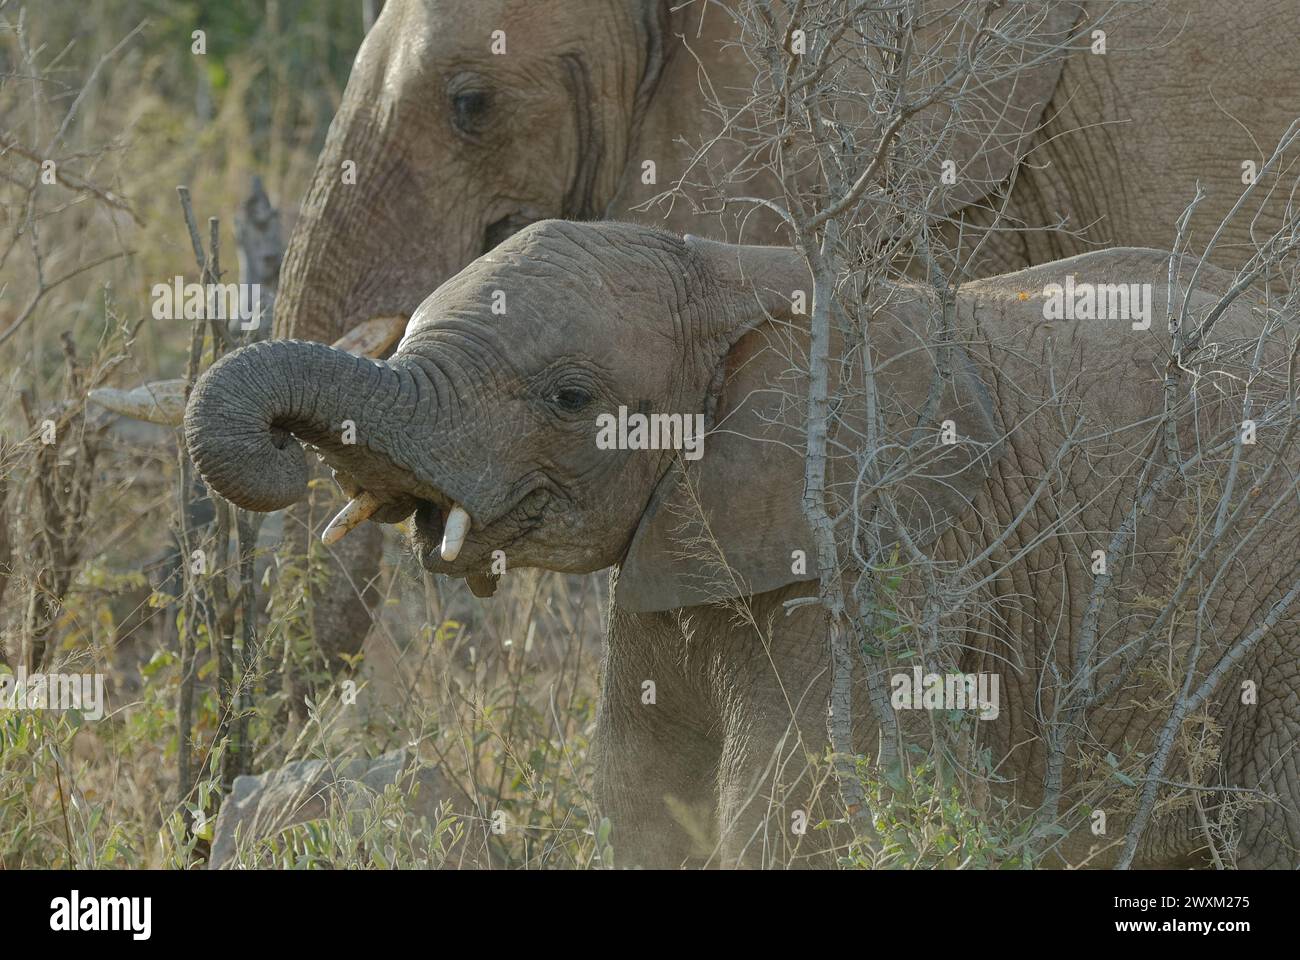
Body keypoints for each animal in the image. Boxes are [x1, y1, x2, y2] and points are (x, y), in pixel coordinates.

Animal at [188, 218, 1300, 868]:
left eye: (570, 398)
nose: (285, 448)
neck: (735, 272)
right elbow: (642, 789)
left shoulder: (880, 558)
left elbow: (799, 809)